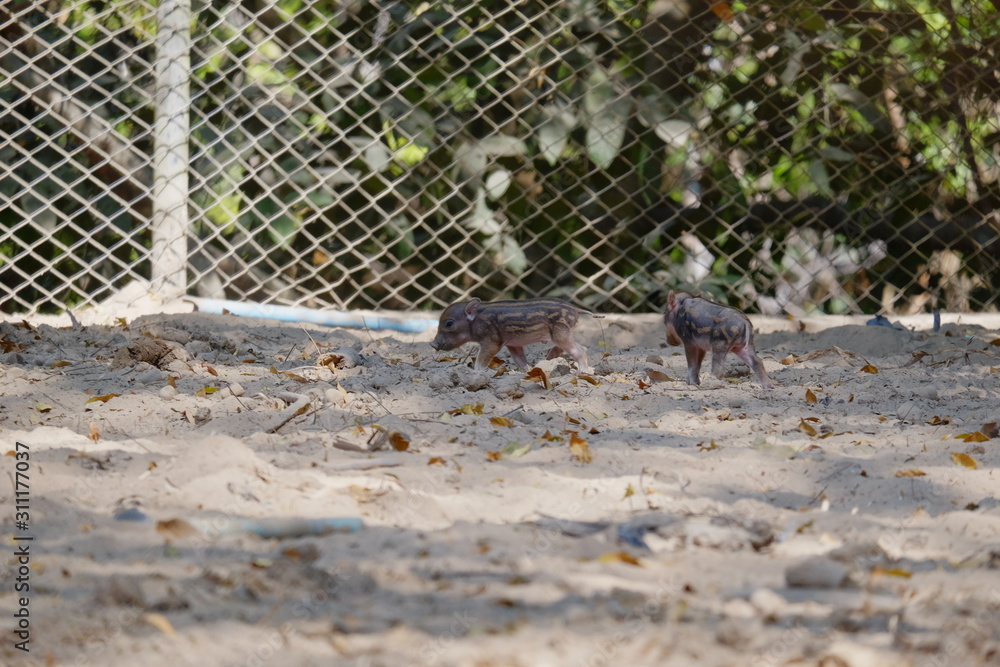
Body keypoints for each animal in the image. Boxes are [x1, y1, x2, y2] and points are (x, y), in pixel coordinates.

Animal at [430, 297, 598, 373]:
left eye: (449, 323)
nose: (432, 344)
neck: (476, 321)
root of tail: (575, 309)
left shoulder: (492, 340)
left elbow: (482, 358)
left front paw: (476, 372)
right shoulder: (513, 343)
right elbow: (520, 360)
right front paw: (530, 371)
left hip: (560, 333)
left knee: (580, 349)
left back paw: (583, 372)